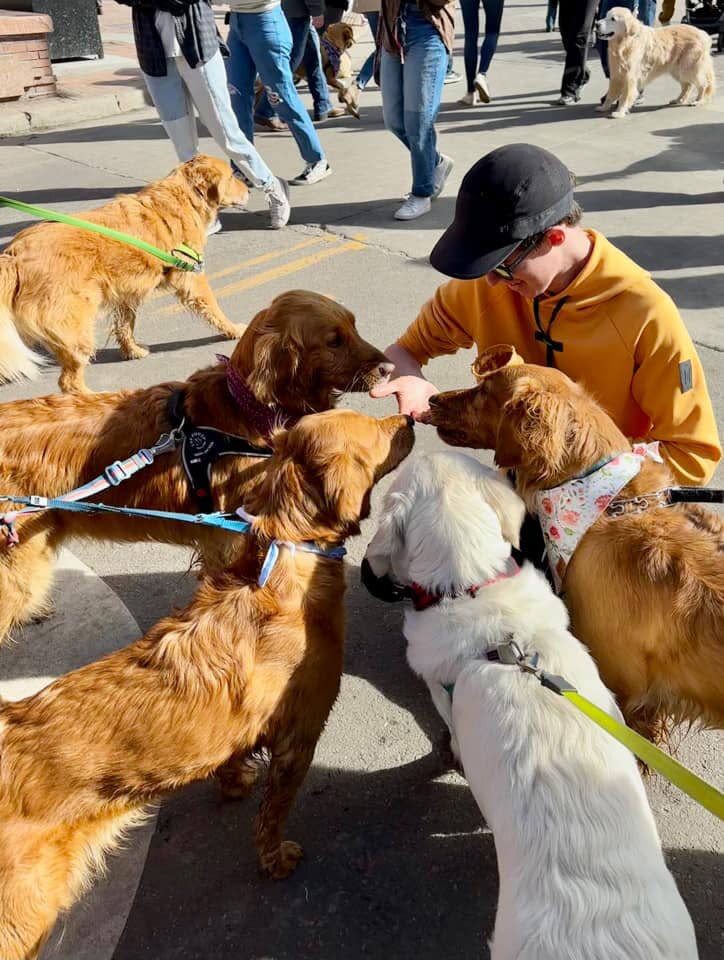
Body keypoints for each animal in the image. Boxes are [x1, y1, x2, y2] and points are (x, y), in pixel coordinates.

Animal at [0, 155, 249, 394]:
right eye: (231, 176)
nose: (249, 189)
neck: (183, 197)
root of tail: (14, 255)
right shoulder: (191, 277)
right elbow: (214, 308)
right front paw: (233, 330)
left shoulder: (126, 292)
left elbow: (125, 326)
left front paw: (133, 350)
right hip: (78, 328)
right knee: (69, 383)